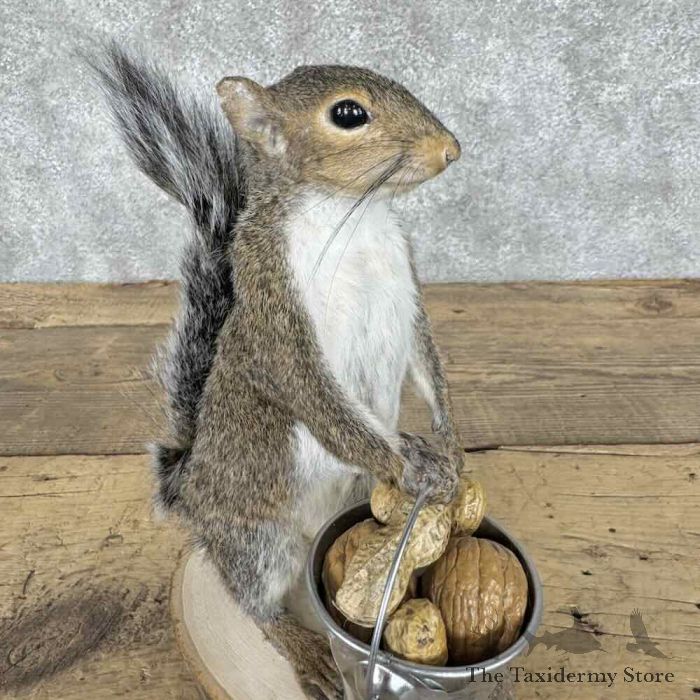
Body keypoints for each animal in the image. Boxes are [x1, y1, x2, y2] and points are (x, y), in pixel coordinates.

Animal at [91, 42, 464, 699]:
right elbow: (318, 398)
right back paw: (306, 650)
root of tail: (188, 489)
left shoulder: (407, 287)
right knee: (256, 603)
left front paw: (448, 436)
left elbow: (427, 358)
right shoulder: (277, 318)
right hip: (259, 538)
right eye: (348, 113)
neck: (354, 218)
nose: (450, 149)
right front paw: (407, 462)